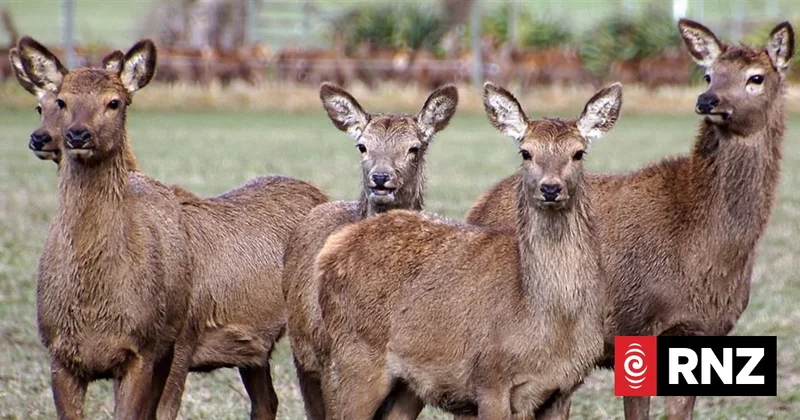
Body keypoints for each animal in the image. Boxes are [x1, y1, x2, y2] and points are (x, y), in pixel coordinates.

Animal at [312, 82, 623, 420]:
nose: (550, 188)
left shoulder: (565, 387)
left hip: (405, 382)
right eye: (525, 151)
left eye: (578, 153)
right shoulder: (490, 377)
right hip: (353, 355)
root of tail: (332, 249)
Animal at [464, 19, 794, 420]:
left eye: (756, 77)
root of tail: (478, 205)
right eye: (708, 74)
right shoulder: (636, 323)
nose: (707, 100)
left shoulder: (700, 332)